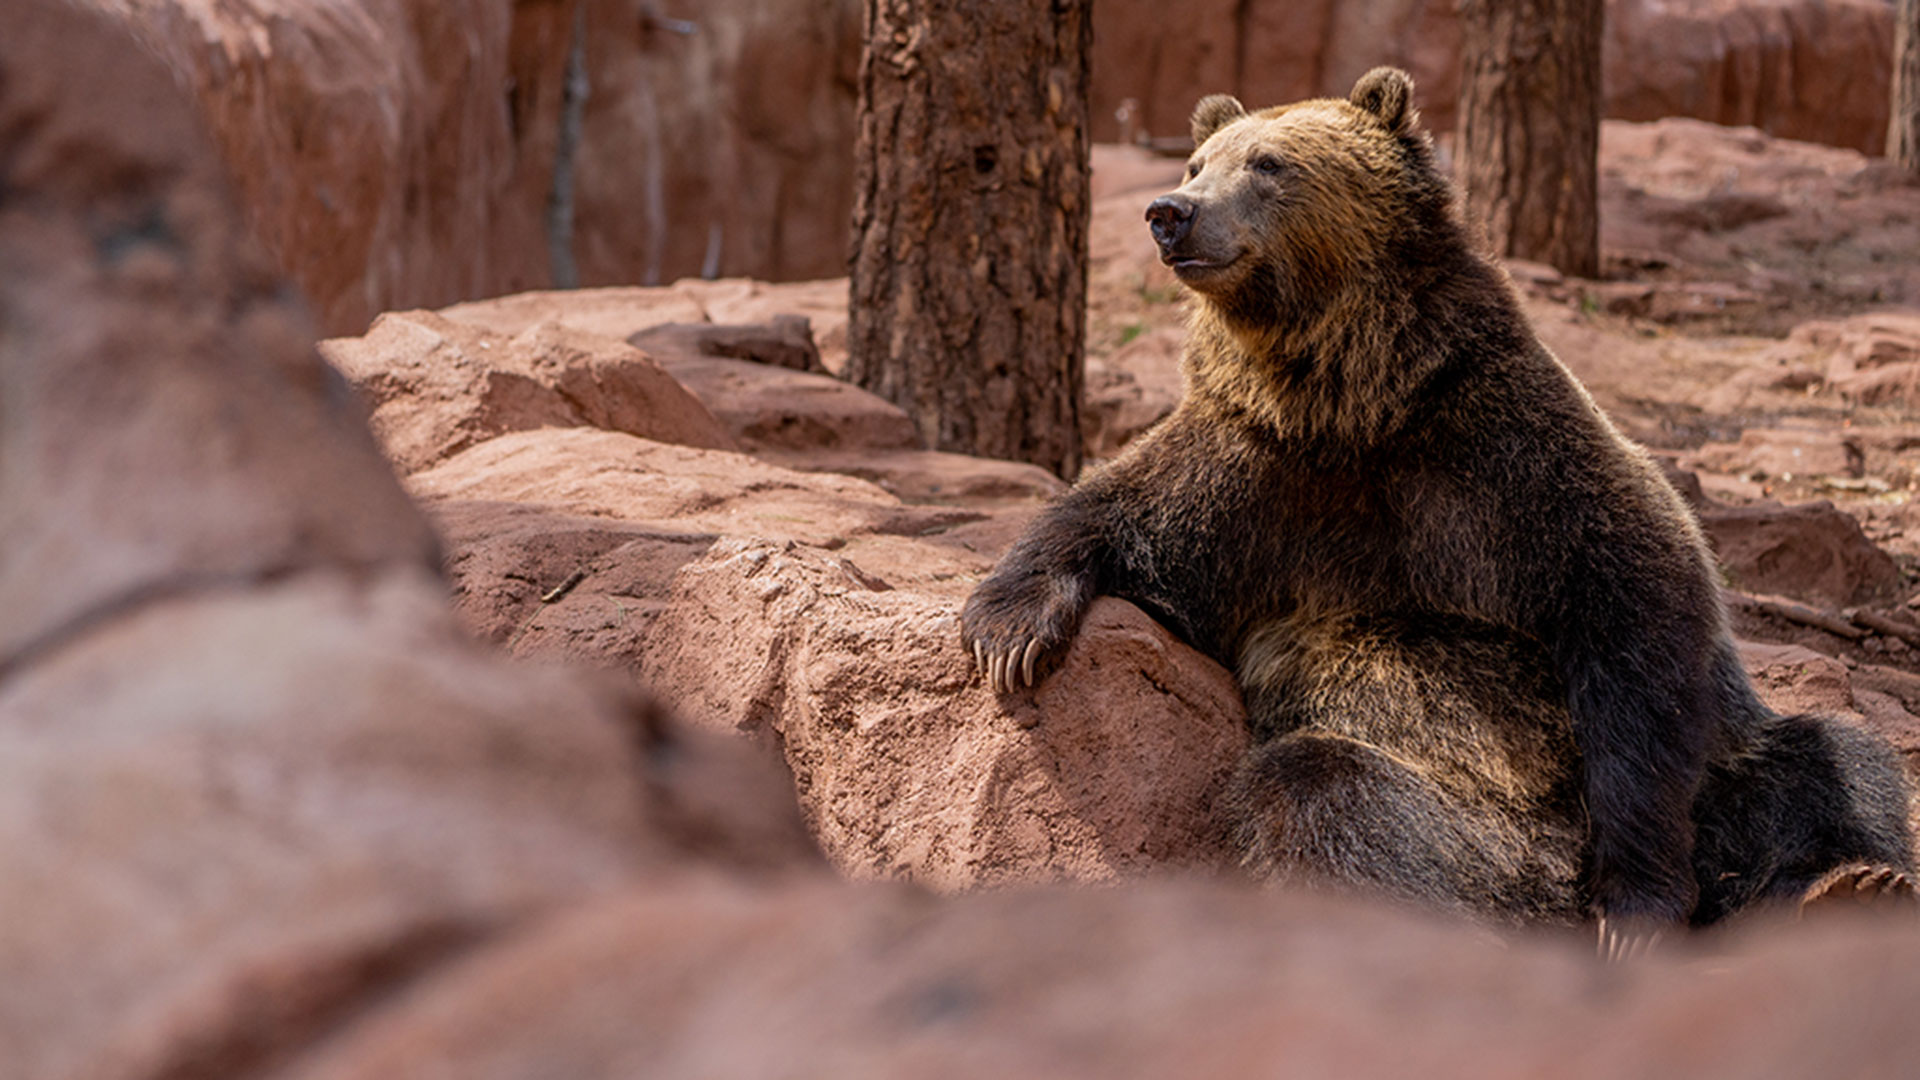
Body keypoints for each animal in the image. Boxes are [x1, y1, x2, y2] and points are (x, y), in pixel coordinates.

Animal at [960, 67, 1916, 952]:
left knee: (1825, 762)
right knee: (1324, 796)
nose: (1171, 212)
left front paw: (1636, 908)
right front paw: (1007, 632)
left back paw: (1853, 885)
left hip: (1718, 773)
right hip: (1435, 813)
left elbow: (1637, 614)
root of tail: (1537, 890)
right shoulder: (1254, 471)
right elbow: (1118, 515)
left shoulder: (1499, 454)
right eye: (1198, 163)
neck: (1353, 400)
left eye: (1267, 163)